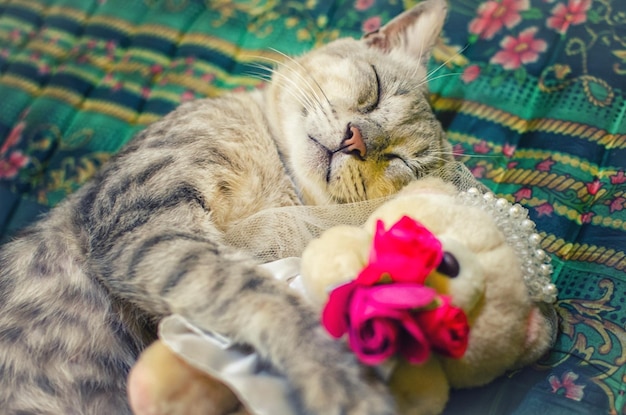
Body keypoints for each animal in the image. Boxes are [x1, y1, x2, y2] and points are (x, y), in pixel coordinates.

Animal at [0, 1, 450, 414]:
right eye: (375, 89)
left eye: (399, 160)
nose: (356, 139)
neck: (274, 167)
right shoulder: (144, 226)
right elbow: (259, 292)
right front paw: (342, 377)